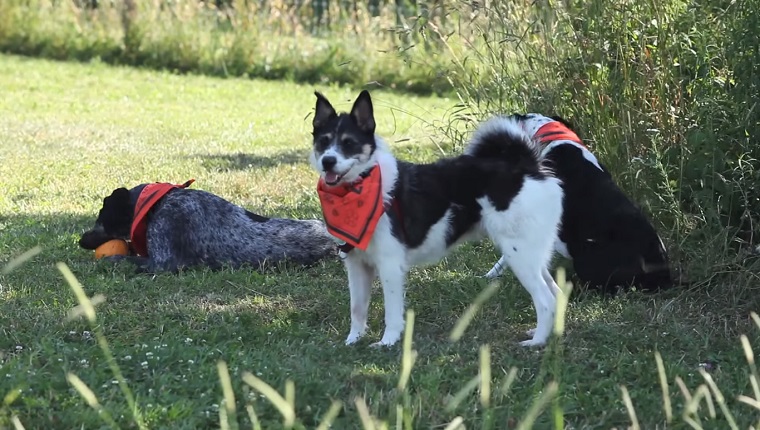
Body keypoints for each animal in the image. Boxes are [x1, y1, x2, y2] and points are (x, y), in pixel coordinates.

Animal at [308, 90, 564, 346]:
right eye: (324, 141)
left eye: (348, 143)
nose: (328, 161)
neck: (362, 183)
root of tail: (526, 166)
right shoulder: (356, 264)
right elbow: (357, 308)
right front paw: (353, 340)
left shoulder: (390, 265)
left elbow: (392, 312)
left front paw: (388, 341)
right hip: (530, 254)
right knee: (555, 292)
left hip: (520, 255)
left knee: (545, 299)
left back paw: (537, 342)